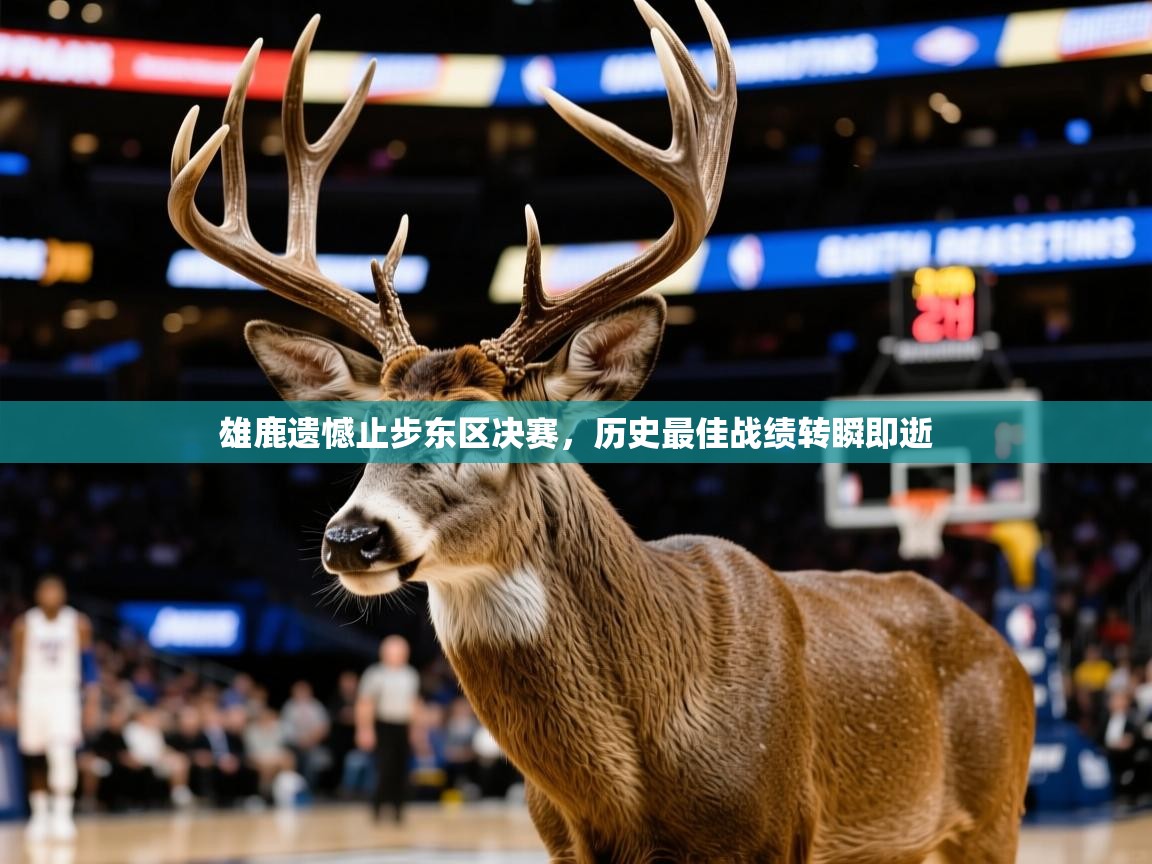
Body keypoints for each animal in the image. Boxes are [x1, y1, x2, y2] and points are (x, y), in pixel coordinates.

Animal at [167, 3, 1035, 861]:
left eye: (487, 425)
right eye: (367, 428)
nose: (354, 537)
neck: (635, 793)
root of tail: (1007, 652)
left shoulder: (779, 827)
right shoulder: (563, 841)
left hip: (993, 811)